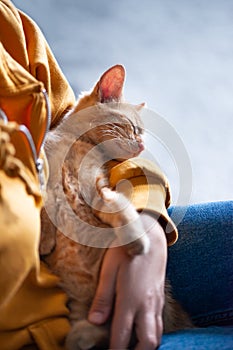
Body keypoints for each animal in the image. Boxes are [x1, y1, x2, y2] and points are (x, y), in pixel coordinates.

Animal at [40, 65, 193, 348]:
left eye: (141, 133)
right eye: (133, 128)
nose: (142, 145)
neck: (76, 146)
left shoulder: (99, 190)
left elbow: (121, 209)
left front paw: (137, 241)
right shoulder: (43, 170)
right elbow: (44, 205)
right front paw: (44, 239)